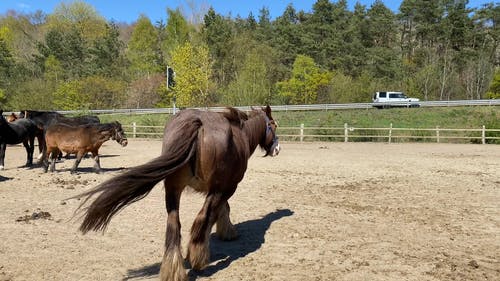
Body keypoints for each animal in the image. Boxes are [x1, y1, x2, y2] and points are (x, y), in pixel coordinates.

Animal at [73, 105, 280, 280]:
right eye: (273, 125)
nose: (277, 149)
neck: (240, 135)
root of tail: (198, 123)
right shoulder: (226, 187)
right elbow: (215, 214)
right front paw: (226, 233)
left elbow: (222, 210)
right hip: (210, 189)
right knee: (200, 219)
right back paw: (197, 259)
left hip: (173, 190)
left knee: (174, 224)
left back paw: (173, 269)